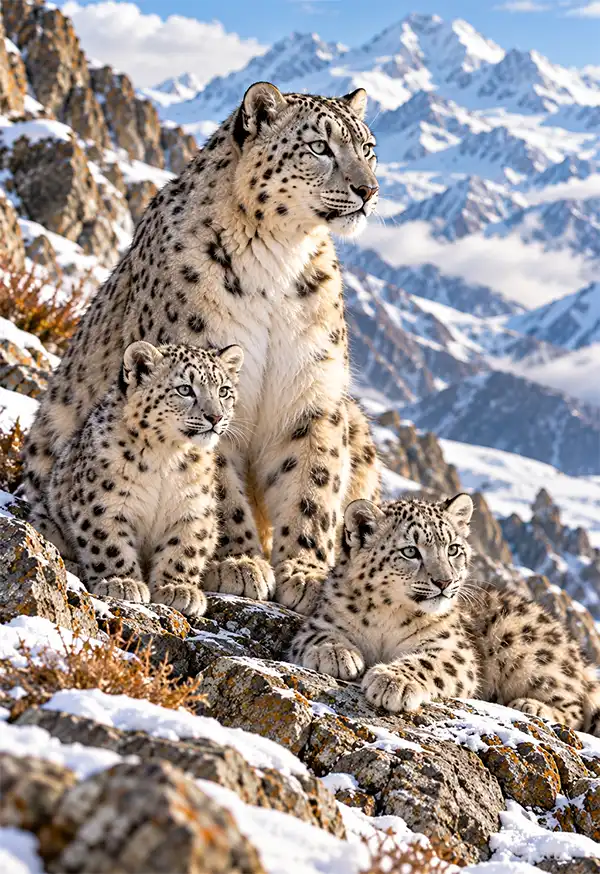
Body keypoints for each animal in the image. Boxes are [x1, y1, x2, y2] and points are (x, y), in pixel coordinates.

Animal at [47, 340, 243, 618]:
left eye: (224, 391)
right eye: (185, 389)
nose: (215, 417)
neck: (166, 457)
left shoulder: (193, 510)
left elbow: (185, 549)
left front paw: (177, 589)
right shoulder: (103, 504)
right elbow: (108, 543)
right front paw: (123, 582)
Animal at [290, 493, 600, 734]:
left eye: (453, 549)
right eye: (410, 551)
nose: (445, 581)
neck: (387, 614)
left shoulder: (453, 649)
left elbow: (427, 663)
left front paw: (392, 680)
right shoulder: (322, 620)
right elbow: (317, 636)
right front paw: (335, 654)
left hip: (529, 655)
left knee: (575, 707)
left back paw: (531, 705)